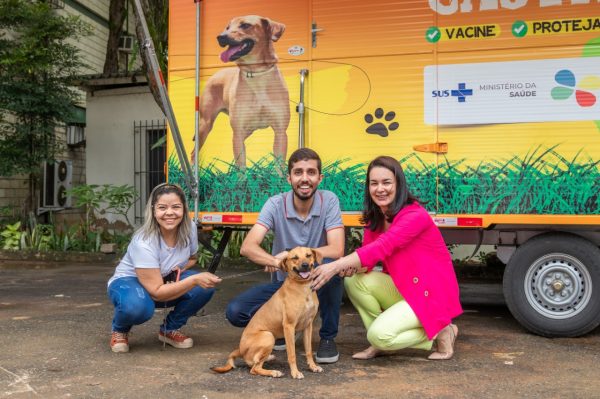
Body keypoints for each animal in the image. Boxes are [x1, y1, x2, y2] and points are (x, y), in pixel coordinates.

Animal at [195, 14, 290, 168]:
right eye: (227, 27)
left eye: (245, 25)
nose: (220, 37)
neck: (256, 73)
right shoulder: (238, 132)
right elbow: (241, 169)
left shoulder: (280, 131)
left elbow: (280, 166)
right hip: (205, 125)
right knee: (193, 153)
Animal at [211, 245, 324, 380]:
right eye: (295, 257)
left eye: (308, 255)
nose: (305, 265)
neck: (303, 287)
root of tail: (240, 349)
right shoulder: (289, 326)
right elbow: (291, 354)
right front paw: (295, 372)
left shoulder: (308, 325)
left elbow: (309, 350)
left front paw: (312, 366)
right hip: (268, 336)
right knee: (254, 369)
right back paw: (273, 372)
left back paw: (270, 358)